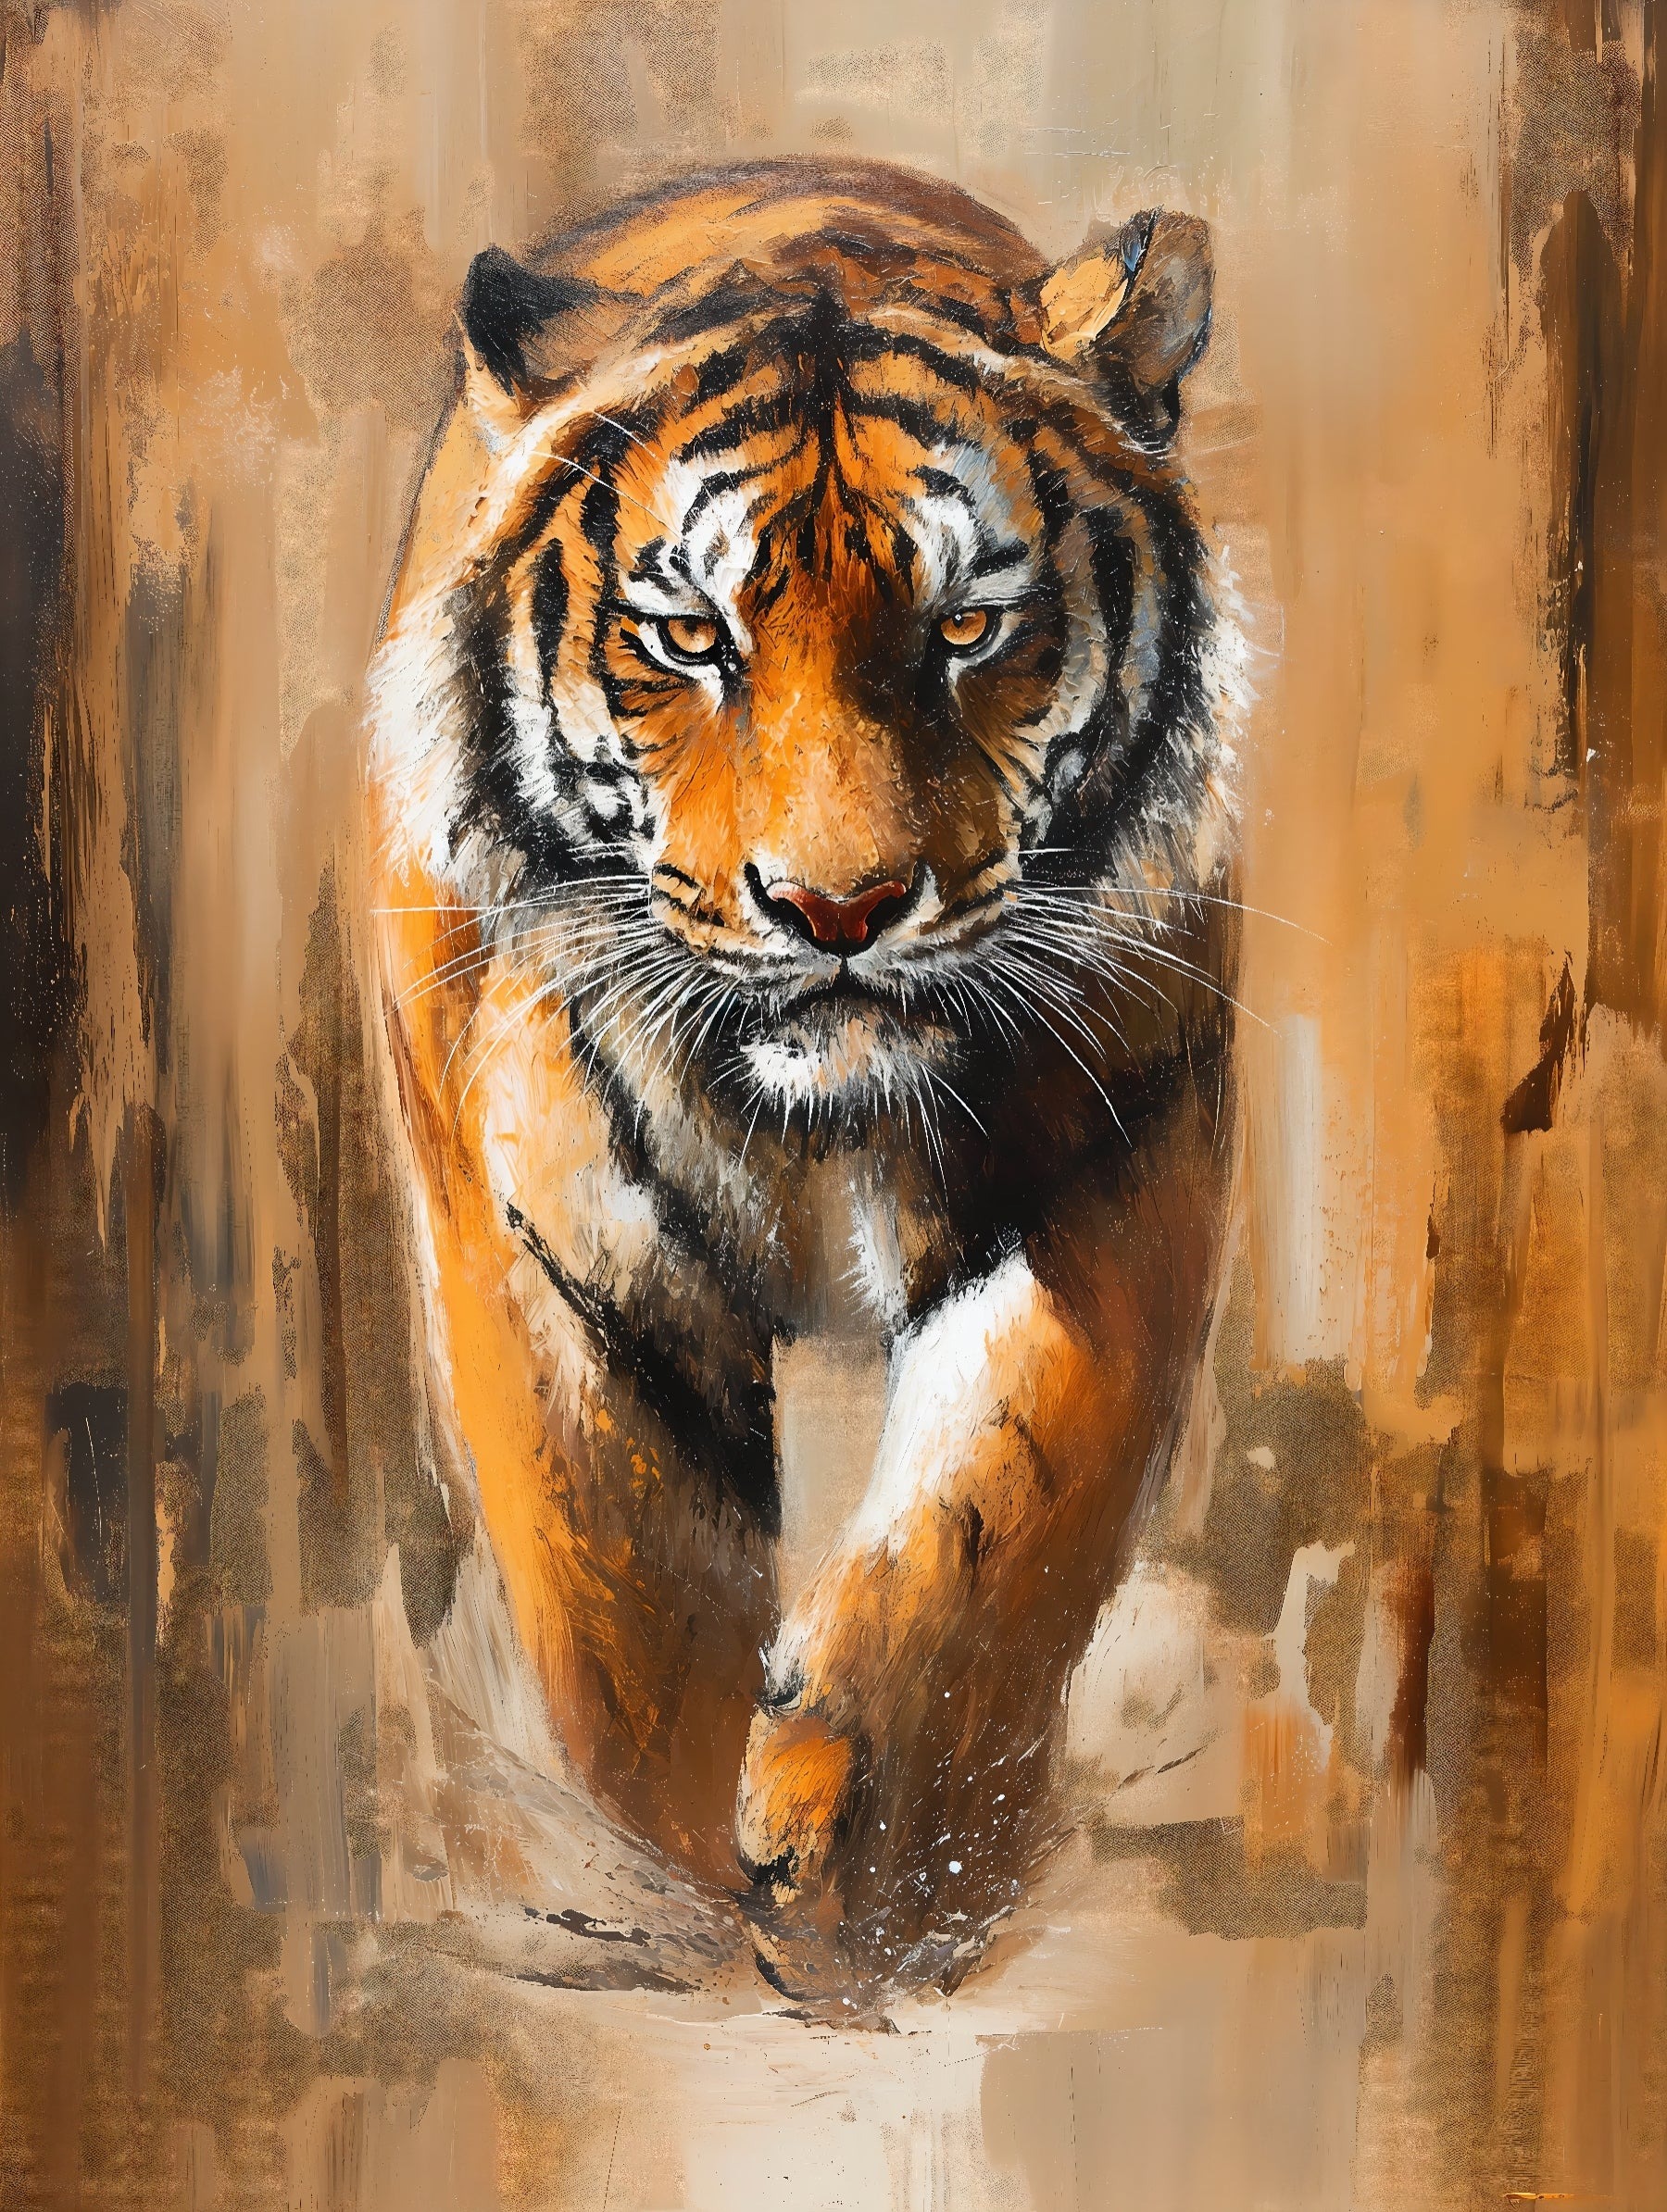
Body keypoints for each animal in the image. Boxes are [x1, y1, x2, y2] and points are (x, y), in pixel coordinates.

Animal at [365, 156, 1240, 1989]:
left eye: (970, 627)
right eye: (689, 636)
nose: (838, 907)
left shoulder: (1113, 1162)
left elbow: (995, 1521)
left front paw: (875, 1865)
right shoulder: (554, 1246)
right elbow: (628, 1595)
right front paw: (712, 1871)